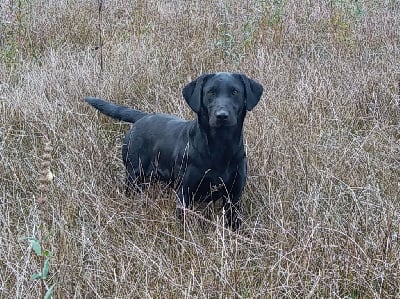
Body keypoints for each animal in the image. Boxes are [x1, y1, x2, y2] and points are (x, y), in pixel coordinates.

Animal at [85, 72, 262, 230]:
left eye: (235, 92)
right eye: (211, 92)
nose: (222, 116)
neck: (220, 147)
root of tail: (143, 117)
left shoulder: (235, 195)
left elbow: (234, 222)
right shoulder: (185, 192)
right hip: (133, 176)